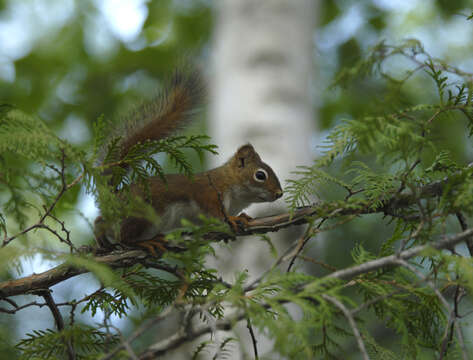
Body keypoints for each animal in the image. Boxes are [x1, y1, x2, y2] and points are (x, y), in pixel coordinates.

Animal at [94, 69, 282, 250]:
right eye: (260, 175)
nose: (279, 193)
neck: (236, 193)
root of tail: (113, 199)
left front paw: (241, 218)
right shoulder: (208, 193)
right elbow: (216, 213)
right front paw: (232, 219)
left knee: (101, 223)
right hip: (142, 215)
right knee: (124, 237)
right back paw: (146, 242)